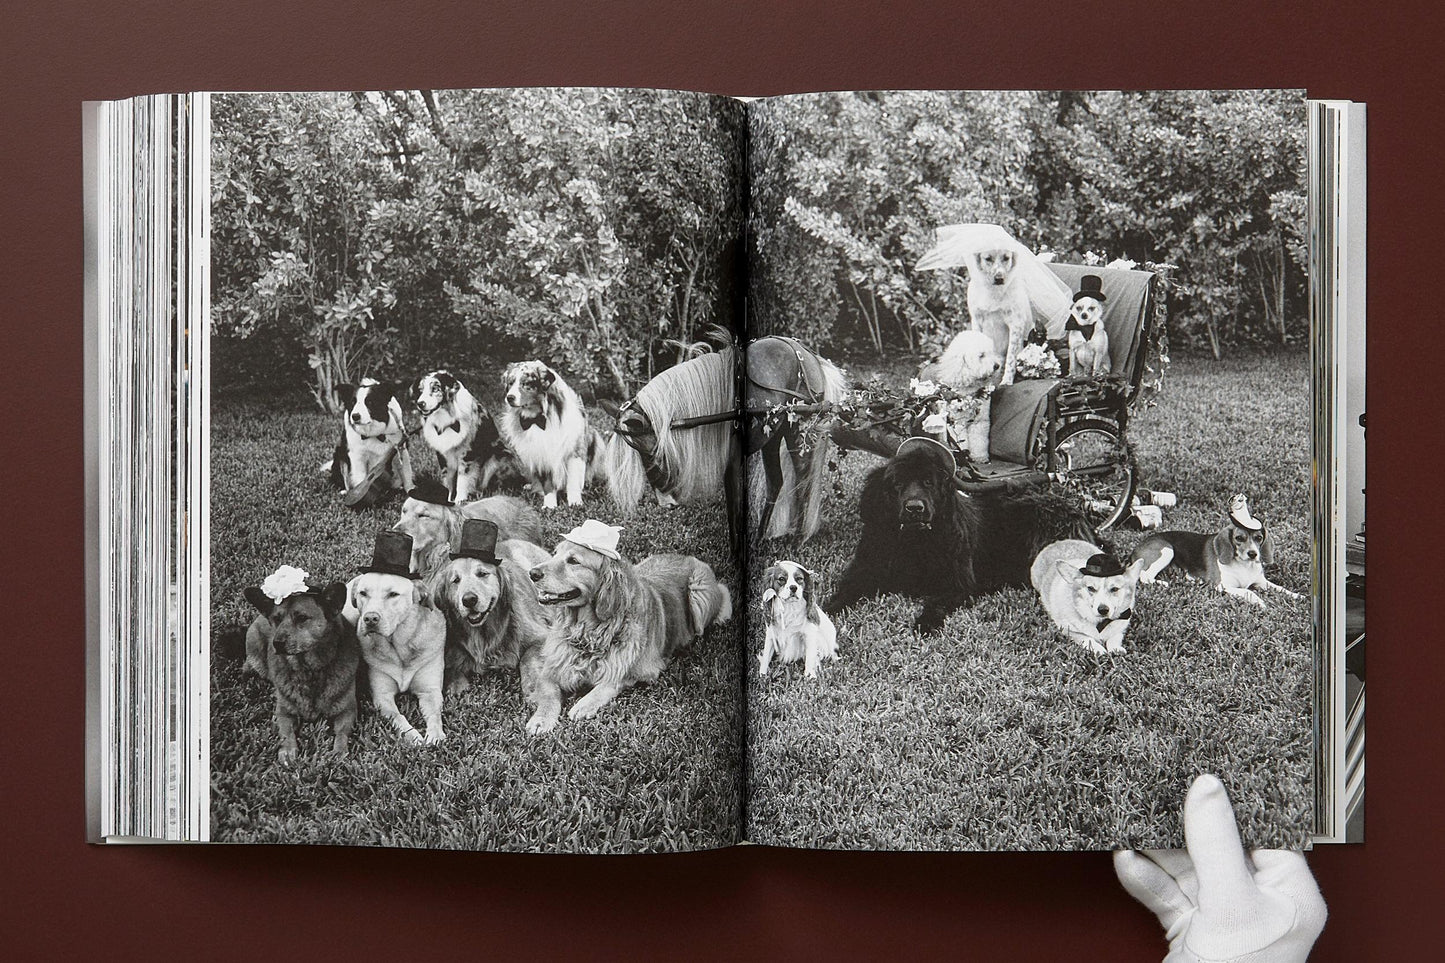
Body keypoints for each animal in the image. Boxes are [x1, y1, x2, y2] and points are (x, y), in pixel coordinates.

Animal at [242, 578, 361, 757]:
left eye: (302, 618)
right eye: (277, 619)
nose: (277, 643)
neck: (309, 670)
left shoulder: (347, 711)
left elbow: (341, 733)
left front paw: (339, 751)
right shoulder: (283, 712)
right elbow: (286, 732)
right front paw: (288, 750)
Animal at [499, 360, 606, 508]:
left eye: (526, 383)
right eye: (510, 383)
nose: (509, 397)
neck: (538, 417)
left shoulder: (574, 450)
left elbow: (573, 480)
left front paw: (575, 502)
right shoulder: (541, 453)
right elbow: (547, 483)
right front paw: (550, 505)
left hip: (596, 439)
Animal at [523, 520, 734, 731]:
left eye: (573, 561)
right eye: (555, 553)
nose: (532, 573)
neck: (588, 631)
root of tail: (688, 557)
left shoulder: (645, 669)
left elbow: (610, 682)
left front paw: (584, 704)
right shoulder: (551, 669)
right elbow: (548, 692)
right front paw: (541, 718)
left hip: (700, 592)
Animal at [826, 433, 1092, 630]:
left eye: (929, 482)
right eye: (898, 483)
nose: (915, 508)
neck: (914, 541)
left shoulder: (956, 583)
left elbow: (937, 603)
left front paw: (926, 623)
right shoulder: (865, 570)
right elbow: (846, 592)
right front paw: (826, 612)